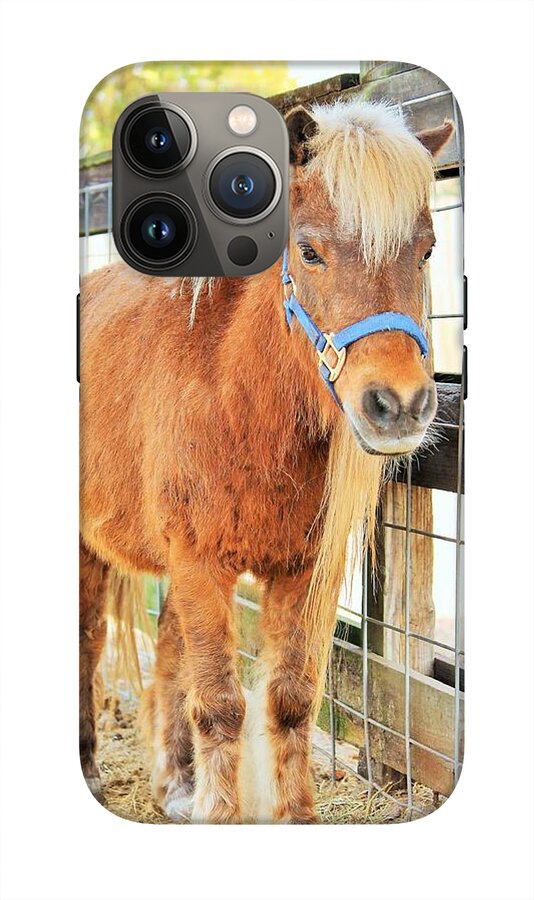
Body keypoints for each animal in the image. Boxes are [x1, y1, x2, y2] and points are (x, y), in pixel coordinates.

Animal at [79, 98, 453, 824]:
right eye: (307, 251)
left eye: (425, 250)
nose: (398, 404)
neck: (237, 395)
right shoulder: (200, 564)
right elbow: (222, 707)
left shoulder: (299, 572)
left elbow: (289, 701)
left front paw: (292, 815)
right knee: (87, 646)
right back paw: (89, 768)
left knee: (168, 651)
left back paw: (176, 784)